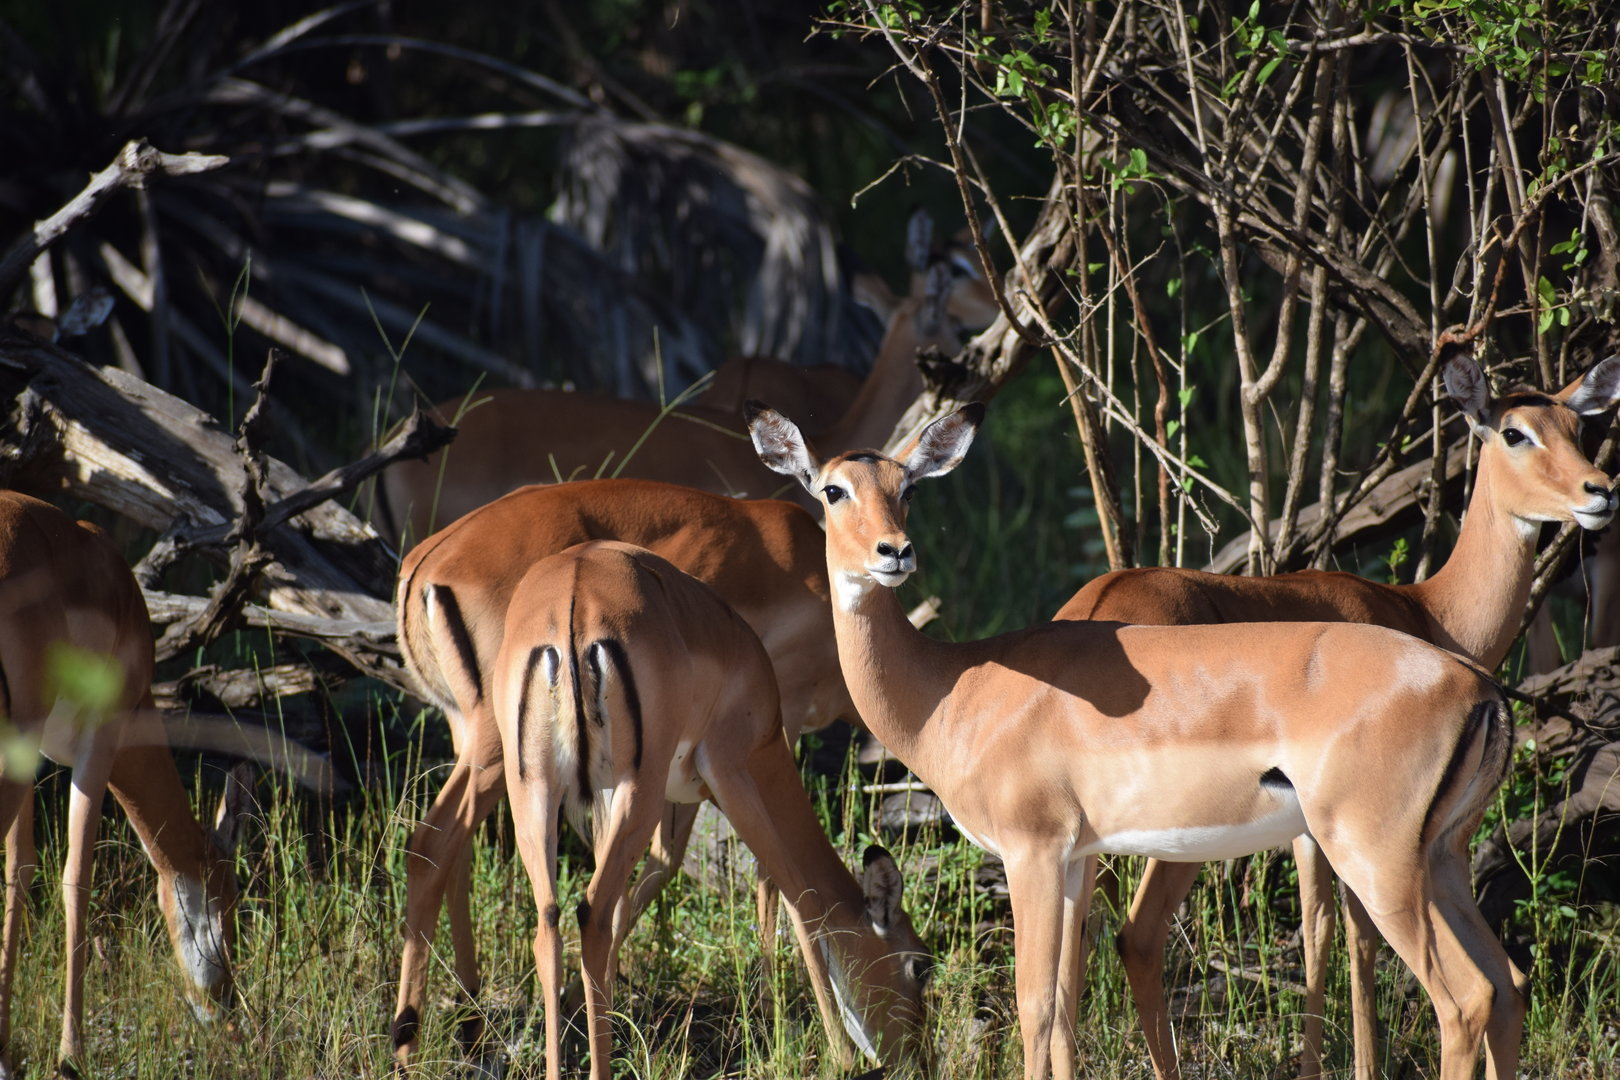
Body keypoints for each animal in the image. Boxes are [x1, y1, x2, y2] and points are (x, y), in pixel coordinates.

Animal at [0, 491, 243, 1079]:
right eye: (229, 900)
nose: (227, 1012)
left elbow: (19, 869)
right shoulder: (99, 741)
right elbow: (76, 878)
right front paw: (71, 1056)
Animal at [494, 539, 929, 1079]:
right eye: (919, 965)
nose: (918, 1058)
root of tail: (571, 602)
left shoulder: (651, 803)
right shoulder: (730, 772)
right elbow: (798, 898)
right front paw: (840, 1056)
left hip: (535, 793)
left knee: (551, 918)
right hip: (637, 791)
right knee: (590, 913)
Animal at [747, 401, 1526, 1080]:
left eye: (905, 487)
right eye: (833, 489)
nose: (895, 552)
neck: (955, 691)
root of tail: (1477, 687)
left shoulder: (1032, 852)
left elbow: (1034, 1007)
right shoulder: (1071, 860)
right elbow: (1063, 1008)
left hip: (1376, 861)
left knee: (1465, 1001)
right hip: (1440, 859)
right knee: (1507, 986)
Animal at [1055, 351, 1620, 1080]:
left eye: (1578, 425)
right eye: (1514, 431)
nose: (1599, 490)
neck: (1428, 609)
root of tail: (1096, 608)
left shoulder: (1307, 830)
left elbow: (1319, 929)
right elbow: (1353, 936)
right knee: (1136, 937)